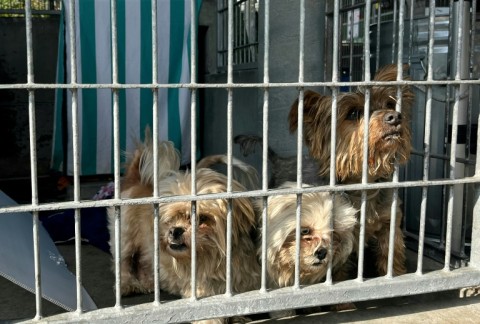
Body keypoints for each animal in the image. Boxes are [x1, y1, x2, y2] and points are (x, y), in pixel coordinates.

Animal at [288, 64, 416, 276]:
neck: (363, 184)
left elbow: (391, 255)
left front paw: (395, 275)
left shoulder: (390, 224)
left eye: (389, 104)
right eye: (354, 114)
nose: (395, 117)